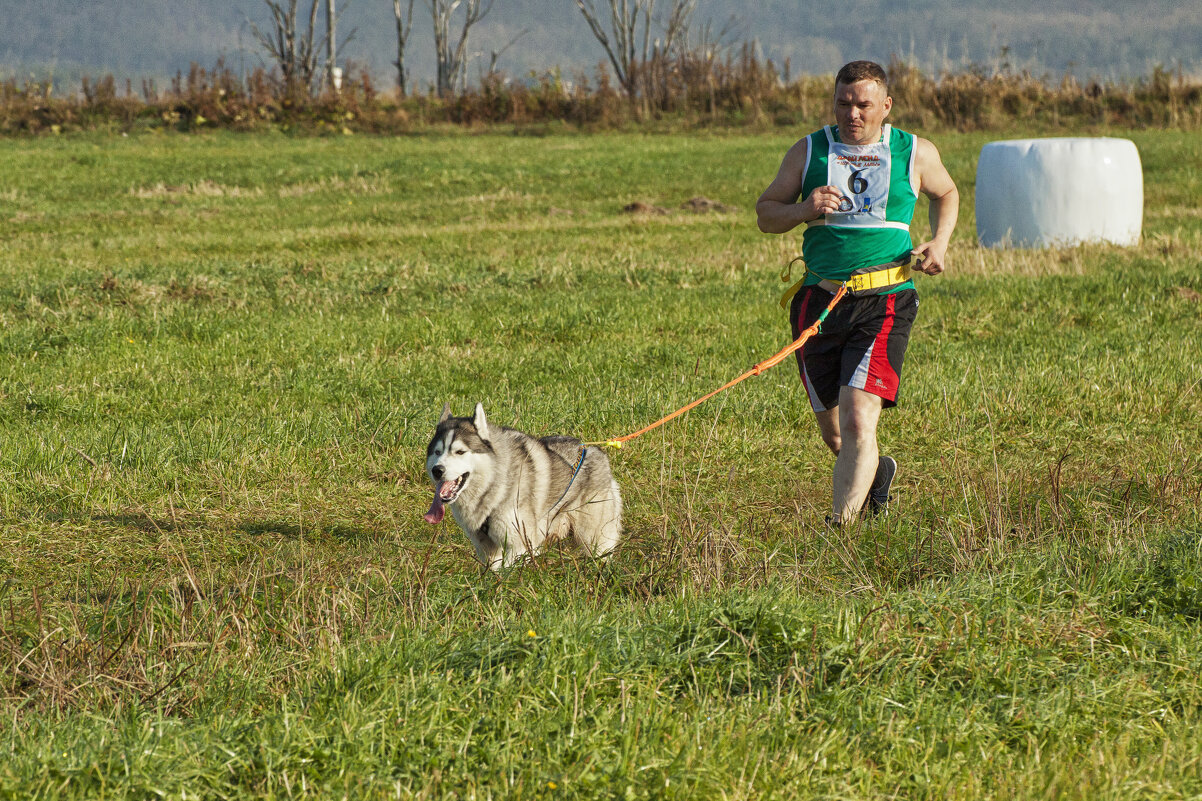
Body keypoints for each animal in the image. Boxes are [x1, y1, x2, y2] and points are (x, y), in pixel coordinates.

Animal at [427, 401, 625, 565]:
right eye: (437, 452)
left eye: (460, 452)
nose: (437, 470)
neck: (492, 484)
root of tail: (593, 450)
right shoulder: (487, 549)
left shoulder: (520, 546)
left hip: (594, 540)